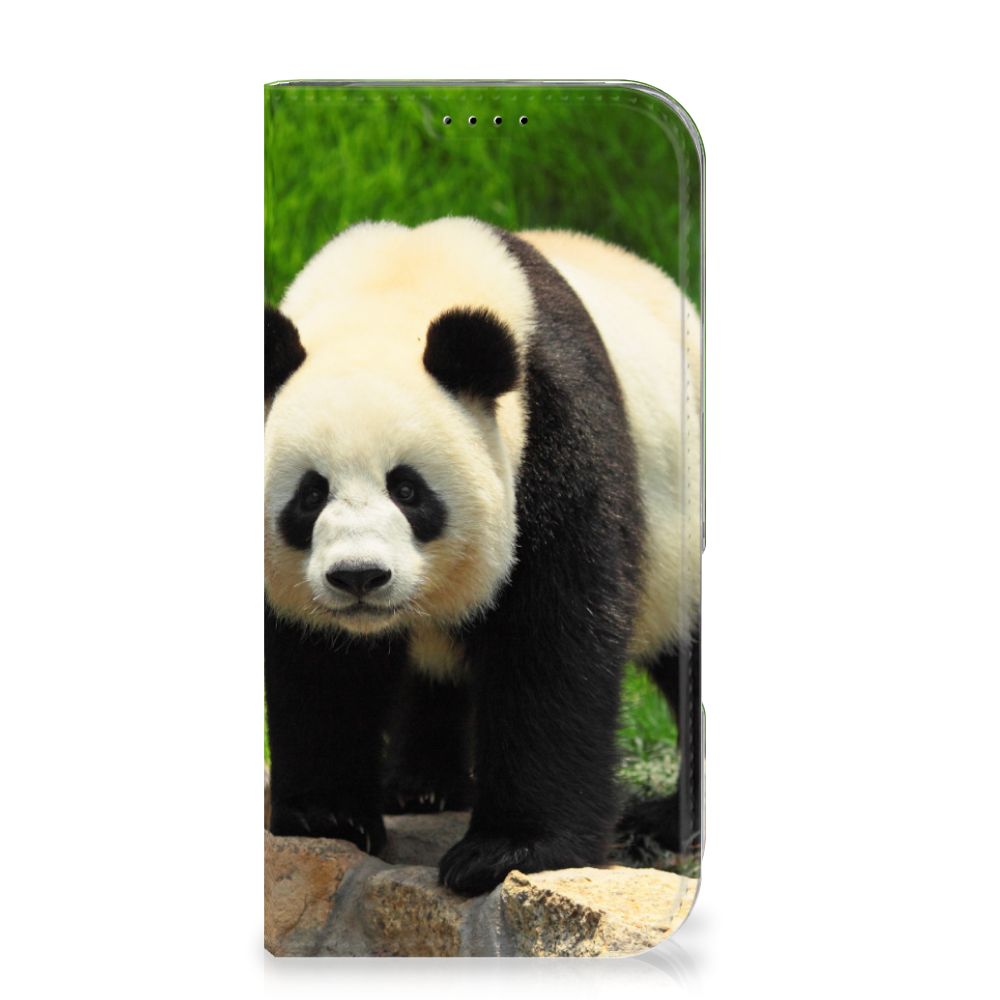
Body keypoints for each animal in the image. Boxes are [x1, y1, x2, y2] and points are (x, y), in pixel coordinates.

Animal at [264, 217, 702, 896]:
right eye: (311, 495)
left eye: (408, 489)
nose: (360, 577)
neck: (393, 288)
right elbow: (318, 662)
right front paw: (326, 815)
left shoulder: (554, 433)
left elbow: (551, 639)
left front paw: (508, 851)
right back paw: (421, 786)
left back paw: (668, 821)